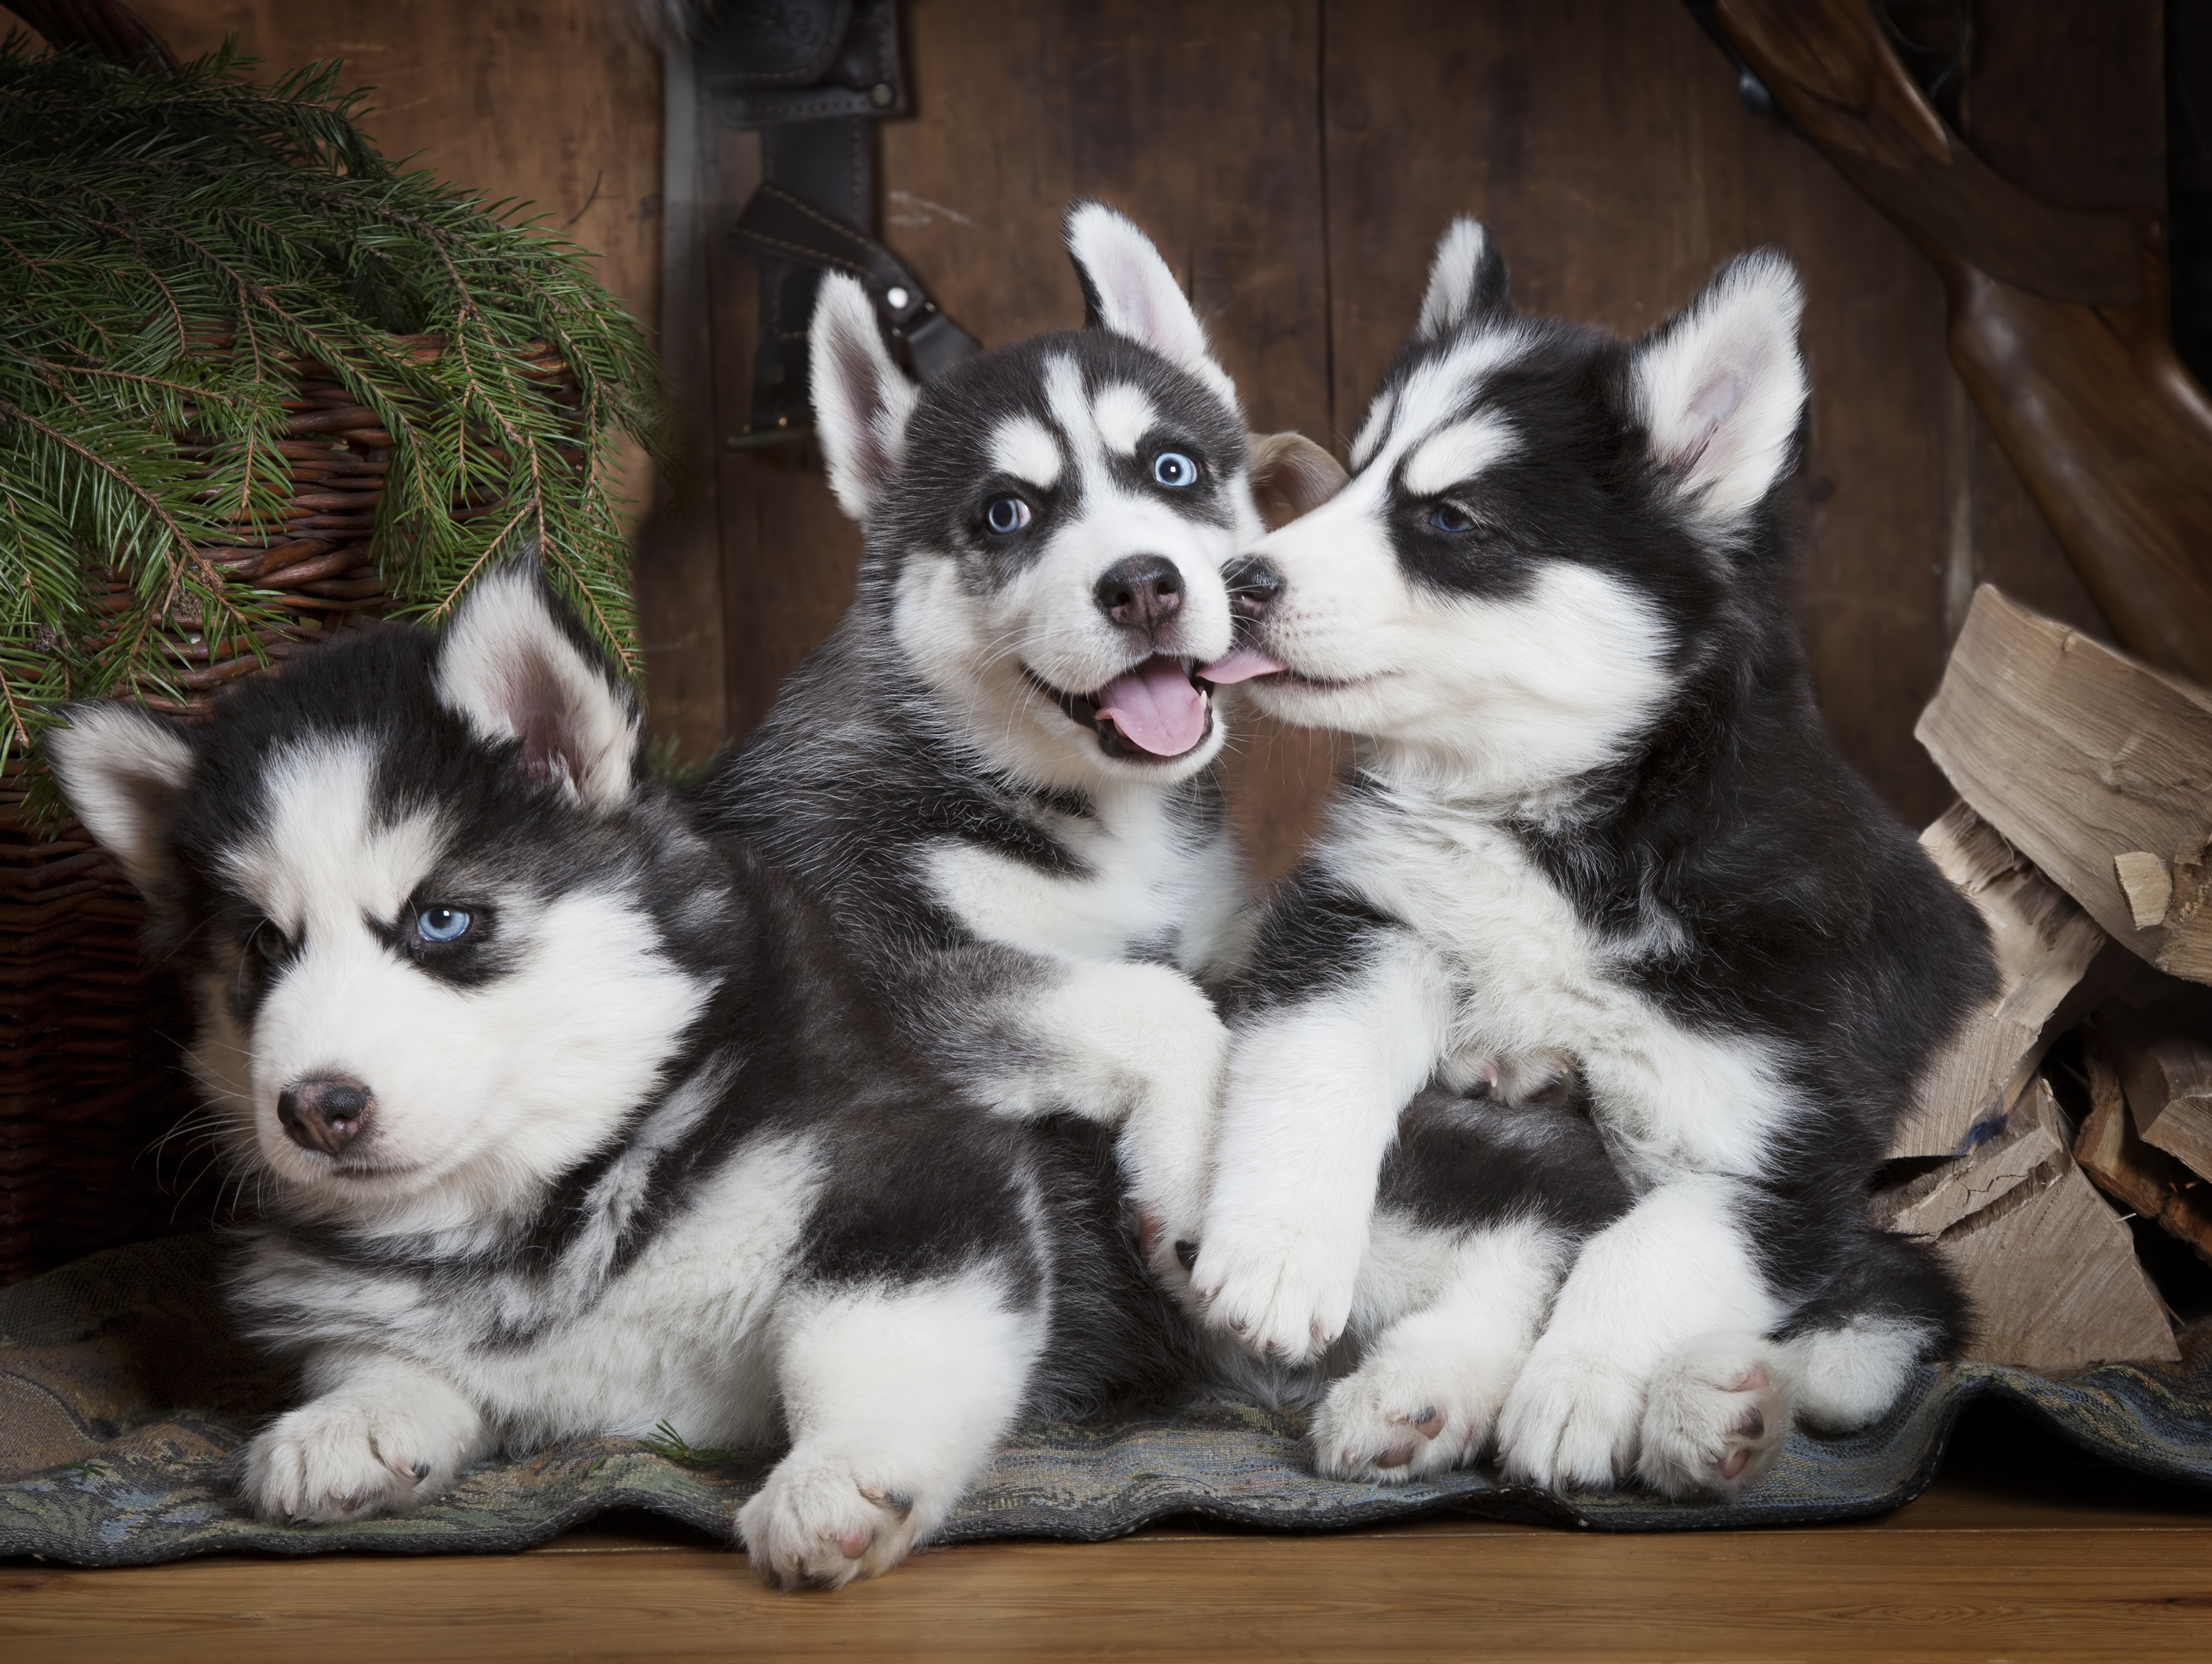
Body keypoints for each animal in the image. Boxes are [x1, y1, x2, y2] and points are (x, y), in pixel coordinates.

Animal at [43, 571, 1203, 1584]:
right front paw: (355, 1415)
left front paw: (839, 1474)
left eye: (442, 920)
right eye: (262, 948)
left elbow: (873, 1336)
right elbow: (379, 1350)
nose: (317, 1108)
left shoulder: (919, 1160)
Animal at [690, 201, 1327, 1283]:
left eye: (1172, 468)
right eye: (1004, 514)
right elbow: (1159, 1001)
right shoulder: (878, 972)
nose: (1143, 585)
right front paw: (1185, 1184)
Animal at [1194, 218, 2008, 1495]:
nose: (1236, 581)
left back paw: (1688, 1401)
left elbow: (1644, 1242)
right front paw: (1275, 1252)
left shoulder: (1782, 1145)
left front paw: (1574, 1392)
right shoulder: (1360, 922)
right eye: (1356, 473)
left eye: (1447, 519)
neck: (1562, 828)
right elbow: (1313, 1066)